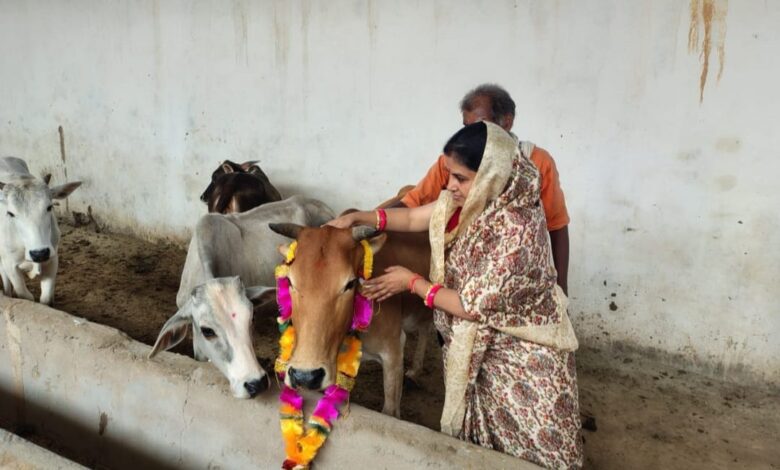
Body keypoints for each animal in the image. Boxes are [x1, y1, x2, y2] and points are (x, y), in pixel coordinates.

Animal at [0, 157, 81, 305]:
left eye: (49, 207)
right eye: (10, 213)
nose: (39, 253)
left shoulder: (52, 259)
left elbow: (46, 298)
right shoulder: (10, 265)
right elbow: (25, 296)